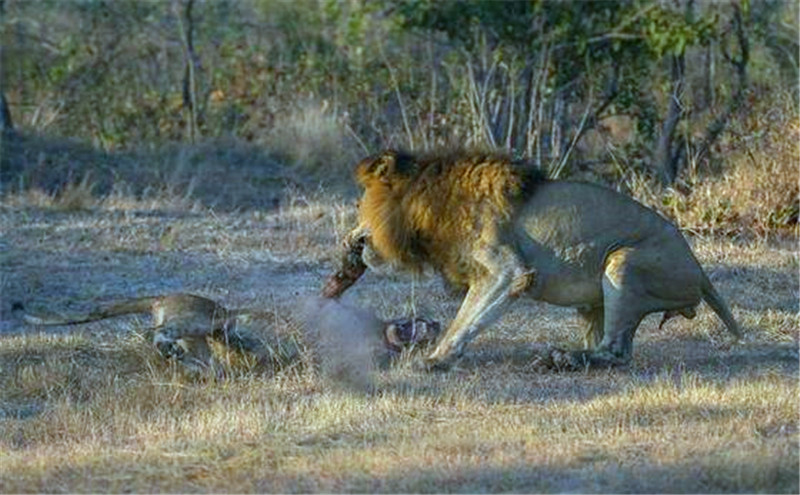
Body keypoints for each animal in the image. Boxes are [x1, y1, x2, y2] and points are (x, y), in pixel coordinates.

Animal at [326, 150, 744, 372]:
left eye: (359, 206)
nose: (348, 240)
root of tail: (700, 270)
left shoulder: (509, 272)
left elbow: (466, 319)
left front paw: (436, 358)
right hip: (595, 298)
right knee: (612, 343)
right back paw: (567, 356)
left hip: (623, 261)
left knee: (617, 352)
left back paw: (562, 359)